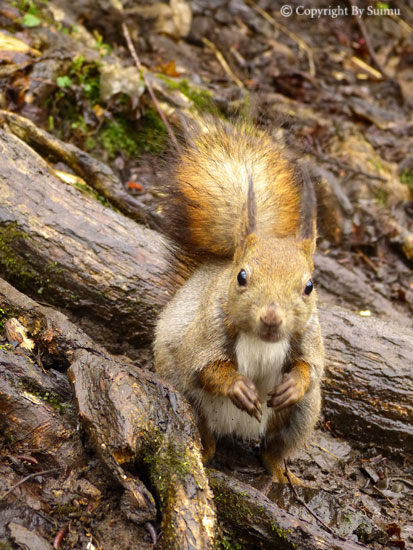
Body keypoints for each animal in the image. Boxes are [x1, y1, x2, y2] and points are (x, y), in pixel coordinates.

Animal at [153, 118, 324, 486]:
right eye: (241, 277)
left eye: (309, 286)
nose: (272, 317)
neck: (262, 341)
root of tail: (240, 430)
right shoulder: (207, 330)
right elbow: (204, 365)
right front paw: (239, 387)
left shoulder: (310, 336)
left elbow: (312, 368)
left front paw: (293, 384)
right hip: (187, 395)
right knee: (203, 430)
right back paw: (204, 452)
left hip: (303, 416)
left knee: (274, 448)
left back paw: (281, 472)